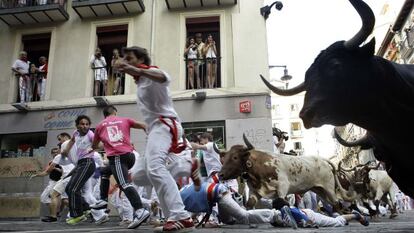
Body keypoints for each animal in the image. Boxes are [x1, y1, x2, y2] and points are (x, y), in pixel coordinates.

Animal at [217, 134, 356, 208]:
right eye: (225, 157)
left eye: (235, 157)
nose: (220, 174)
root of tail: (322, 159)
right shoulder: (254, 191)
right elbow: (249, 204)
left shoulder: (282, 187)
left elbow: (281, 202)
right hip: (320, 190)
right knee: (334, 204)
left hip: (329, 188)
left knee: (337, 203)